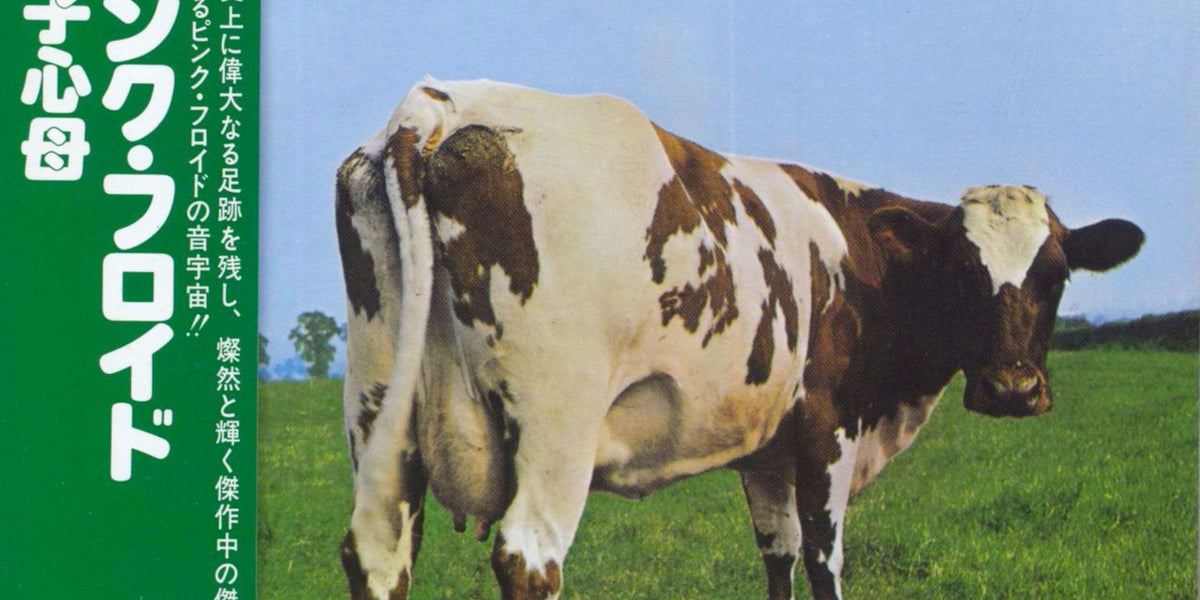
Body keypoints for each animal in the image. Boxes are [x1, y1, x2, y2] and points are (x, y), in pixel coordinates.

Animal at [335, 78, 1143, 600]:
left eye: (1056, 274)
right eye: (964, 272)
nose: (1013, 388)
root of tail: (439, 107)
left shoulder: (766, 451)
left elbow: (777, 556)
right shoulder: (827, 429)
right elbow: (823, 558)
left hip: (378, 406)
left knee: (376, 552)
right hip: (556, 425)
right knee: (529, 559)